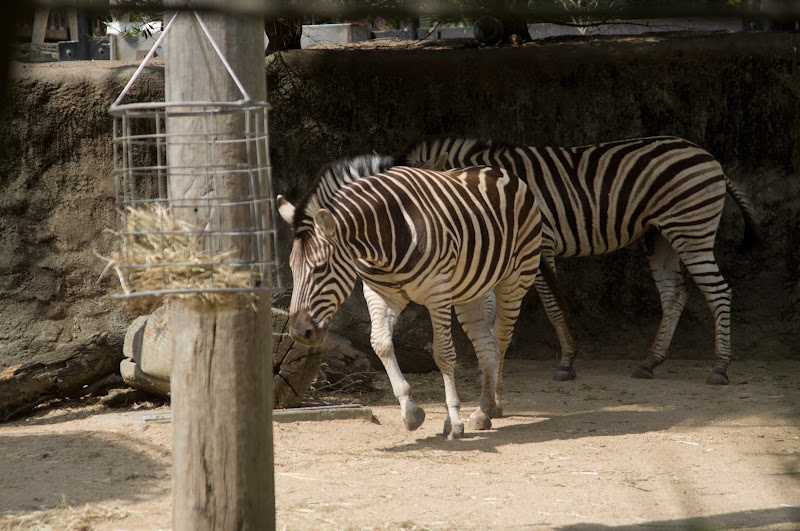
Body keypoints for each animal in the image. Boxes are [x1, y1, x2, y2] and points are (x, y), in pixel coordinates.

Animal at [277, 155, 545, 439]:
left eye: (320, 267)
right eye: (292, 268)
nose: (298, 333)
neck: (383, 239)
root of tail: (496, 170)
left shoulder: (437, 291)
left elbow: (443, 353)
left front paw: (453, 420)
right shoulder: (378, 293)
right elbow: (381, 344)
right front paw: (411, 411)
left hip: (515, 279)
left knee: (502, 338)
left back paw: (497, 404)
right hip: (470, 291)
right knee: (487, 346)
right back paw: (483, 412)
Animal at [399, 136, 764, 385]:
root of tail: (710, 158)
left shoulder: (539, 247)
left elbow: (552, 307)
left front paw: (566, 362)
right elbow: (488, 311)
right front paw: (484, 366)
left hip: (691, 230)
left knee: (718, 292)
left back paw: (719, 367)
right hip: (660, 236)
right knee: (675, 295)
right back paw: (650, 362)